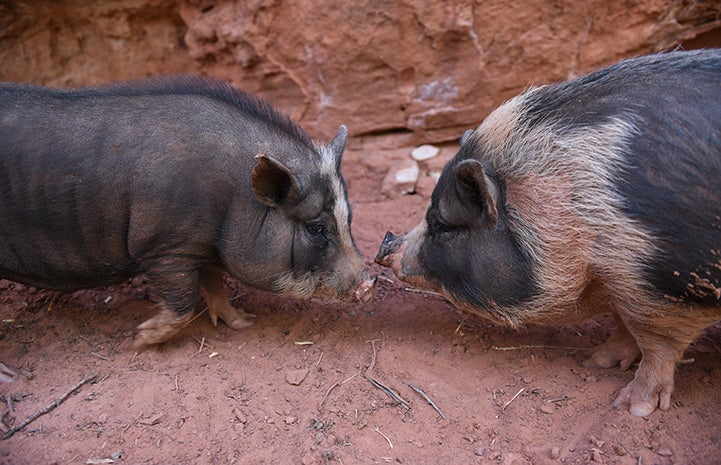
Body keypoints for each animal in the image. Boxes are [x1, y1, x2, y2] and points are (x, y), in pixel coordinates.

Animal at [2, 77, 376, 348]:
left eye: (350, 218)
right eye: (316, 229)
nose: (368, 282)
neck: (234, 194)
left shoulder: (203, 245)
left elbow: (214, 284)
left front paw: (244, 323)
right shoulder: (164, 247)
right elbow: (184, 298)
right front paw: (139, 340)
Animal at [376, 49, 720, 416]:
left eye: (443, 226)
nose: (385, 246)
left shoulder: (660, 285)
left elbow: (657, 346)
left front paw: (632, 408)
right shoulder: (621, 281)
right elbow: (623, 324)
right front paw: (593, 362)